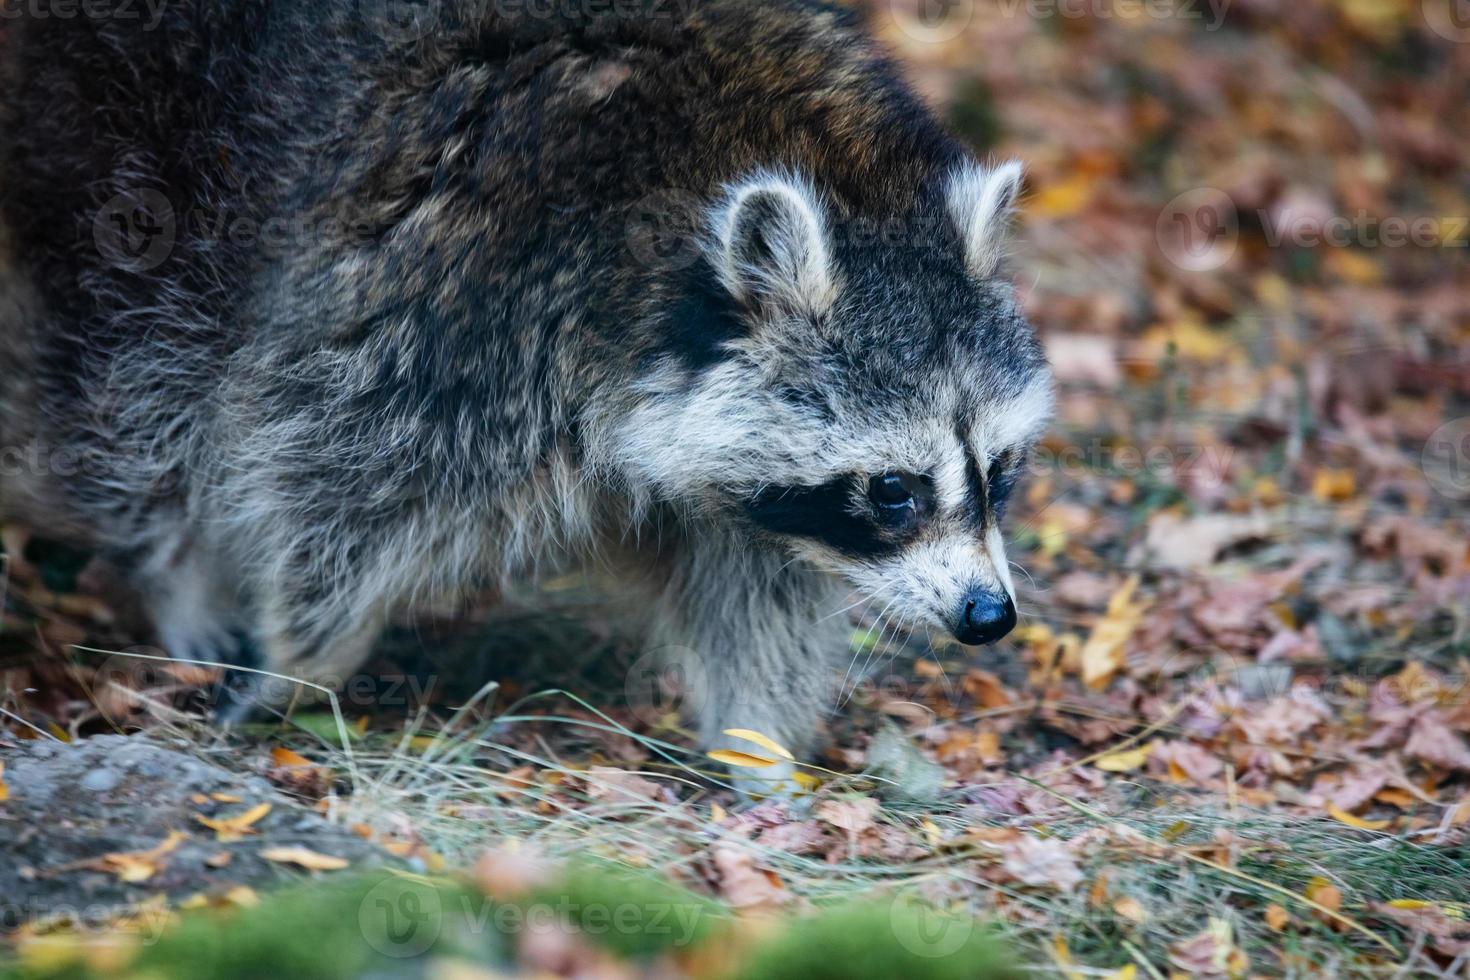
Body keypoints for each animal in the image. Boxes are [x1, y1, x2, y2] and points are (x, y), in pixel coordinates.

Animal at [2, 0, 1058, 787]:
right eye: (895, 490)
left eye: (998, 471)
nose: (988, 616)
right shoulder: (459, 294)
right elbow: (333, 491)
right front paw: (301, 660)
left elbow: (753, 580)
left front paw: (757, 745)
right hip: (129, 160)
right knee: (135, 376)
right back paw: (175, 569)